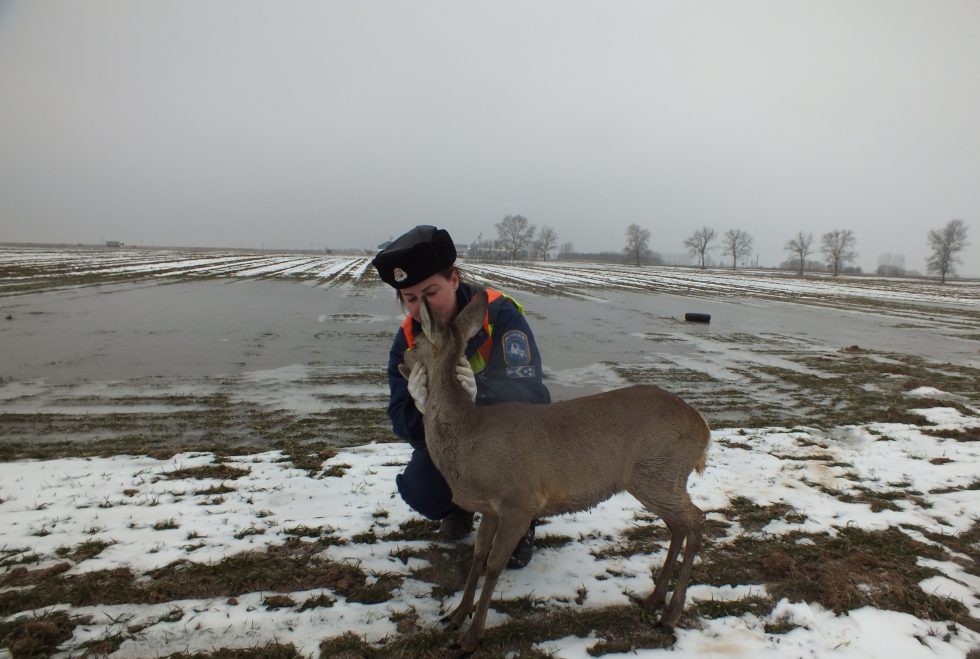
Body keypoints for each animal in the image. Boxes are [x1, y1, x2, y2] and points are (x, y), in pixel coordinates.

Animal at [398, 290, 712, 656]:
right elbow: (477, 557)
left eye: (418, 339)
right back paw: (654, 598)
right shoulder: (490, 508)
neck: (470, 442)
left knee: (696, 519)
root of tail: (704, 429)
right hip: (658, 478)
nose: (402, 357)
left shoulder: (520, 500)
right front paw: (456, 615)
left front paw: (470, 639)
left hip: (659, 472)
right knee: (678, 525)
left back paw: (671, 614)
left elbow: (494, 564)